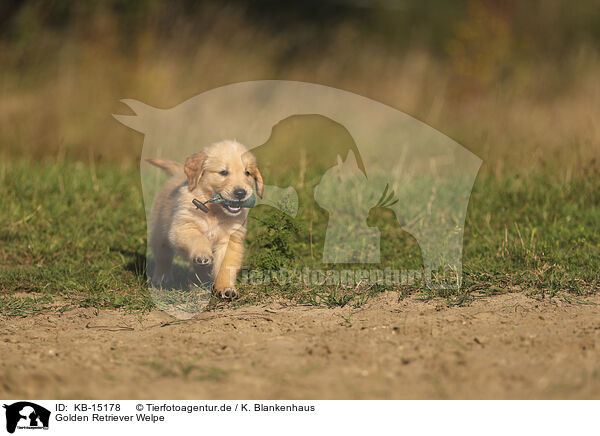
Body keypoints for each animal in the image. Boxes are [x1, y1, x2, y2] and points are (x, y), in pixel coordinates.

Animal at [146, 141, 262, 298]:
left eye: (247, 173)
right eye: (223, 172)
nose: (240, 193)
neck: (215, 212)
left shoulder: (230, 240)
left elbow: (225, 266)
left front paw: (225, 288)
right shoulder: (183, 227)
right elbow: (197, 238)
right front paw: (202, 254)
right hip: (160, 232)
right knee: (163, 257)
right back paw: (162, 278)